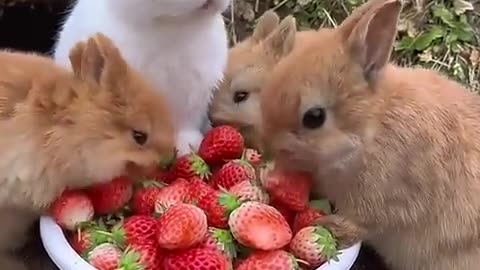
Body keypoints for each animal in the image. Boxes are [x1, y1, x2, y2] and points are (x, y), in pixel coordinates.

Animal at [258, 0, 480, 270]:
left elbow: (369, 224)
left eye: (314, 117)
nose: (265, 146)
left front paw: (328, 227)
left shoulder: (389, 202)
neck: (369, 128)